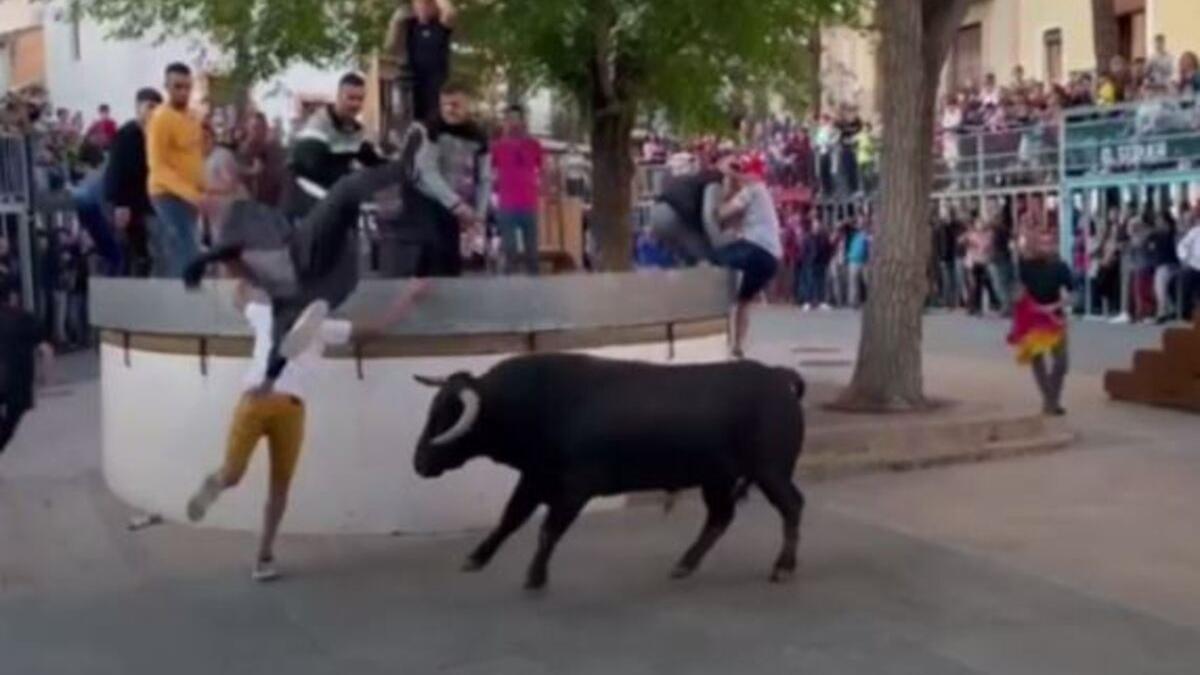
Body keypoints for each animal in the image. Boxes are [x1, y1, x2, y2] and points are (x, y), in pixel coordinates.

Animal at [412, 353, 806, 588]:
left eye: (446, 416)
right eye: (431, 410)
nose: (419, 463)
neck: (540, 402)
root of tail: (777, 376)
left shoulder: (574, 489)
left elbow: (547, 530)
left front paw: (535, 576)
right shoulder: (535, 478)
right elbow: (510, 519)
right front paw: (476, 559)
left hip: (771, 471)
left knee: (791, 506)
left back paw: (784, 566)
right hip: (717, 479)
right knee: (720, 518)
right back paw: (685, 564)